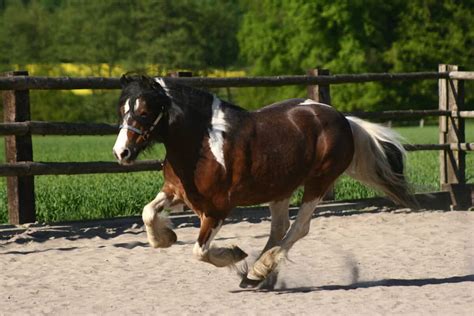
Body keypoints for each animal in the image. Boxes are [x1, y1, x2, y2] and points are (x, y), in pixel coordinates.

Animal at [112, 74, 414, 288]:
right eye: (122, 110)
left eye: (145, 111)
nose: (121, 152)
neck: (202, 144)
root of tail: (344, 119)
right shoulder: (175, 192)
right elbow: (148, 212)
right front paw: (166, 237)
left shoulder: (217, 209)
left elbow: (200, 251)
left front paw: (235, 254)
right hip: (281, 188)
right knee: (279, 229)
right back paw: (258, 275)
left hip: (318, 182)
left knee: (298, 228)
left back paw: (258, 271)